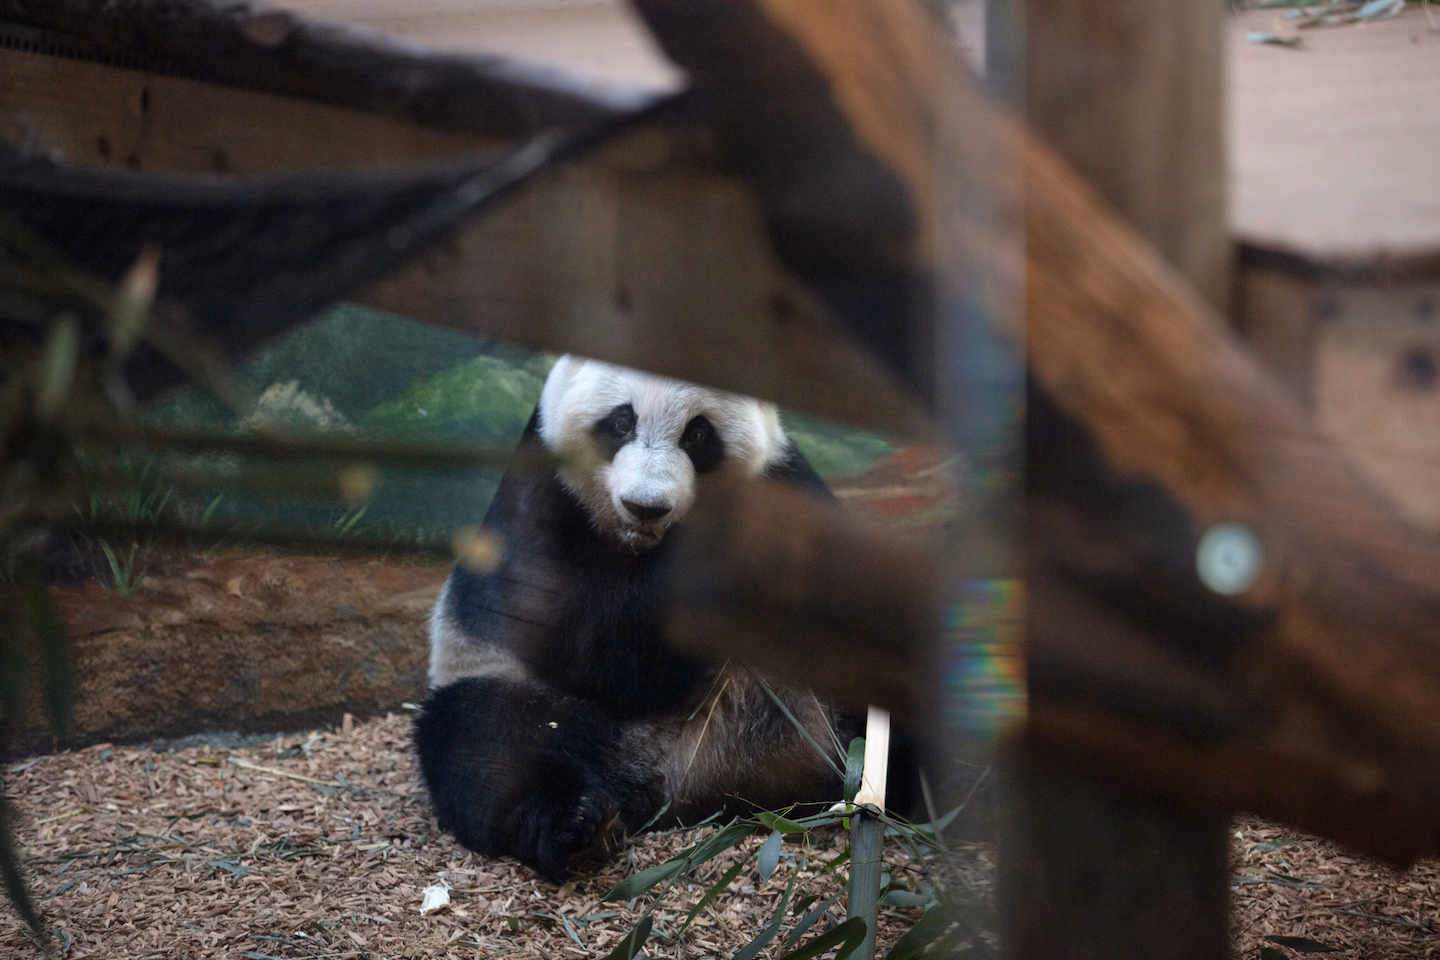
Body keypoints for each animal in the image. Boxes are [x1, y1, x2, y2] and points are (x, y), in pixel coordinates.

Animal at [414, 354, 861, 881]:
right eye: (621, 422)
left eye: (698, 434)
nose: (645, 506)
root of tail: (682, 783)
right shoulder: (541, 496)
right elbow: (591, 648)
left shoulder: (784, 479)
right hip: (513, 690)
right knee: (487, 744)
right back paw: (577, 824)